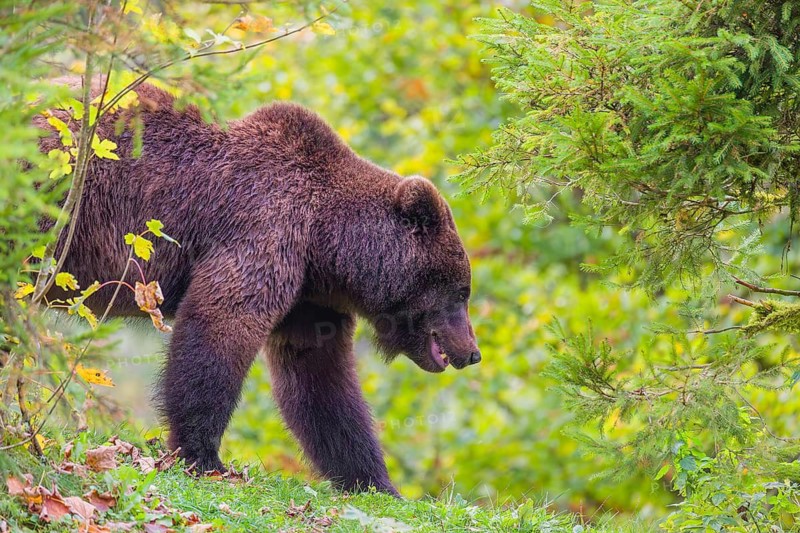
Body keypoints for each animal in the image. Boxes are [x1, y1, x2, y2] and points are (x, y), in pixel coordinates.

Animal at [36, 79, 481, 496]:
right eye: (461, 291)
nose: (472, 352)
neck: (326, 243)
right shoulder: (262, 231)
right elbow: (220, 327)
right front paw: (202, 454)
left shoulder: (309, 299)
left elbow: (320, 380)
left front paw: (374, 480)